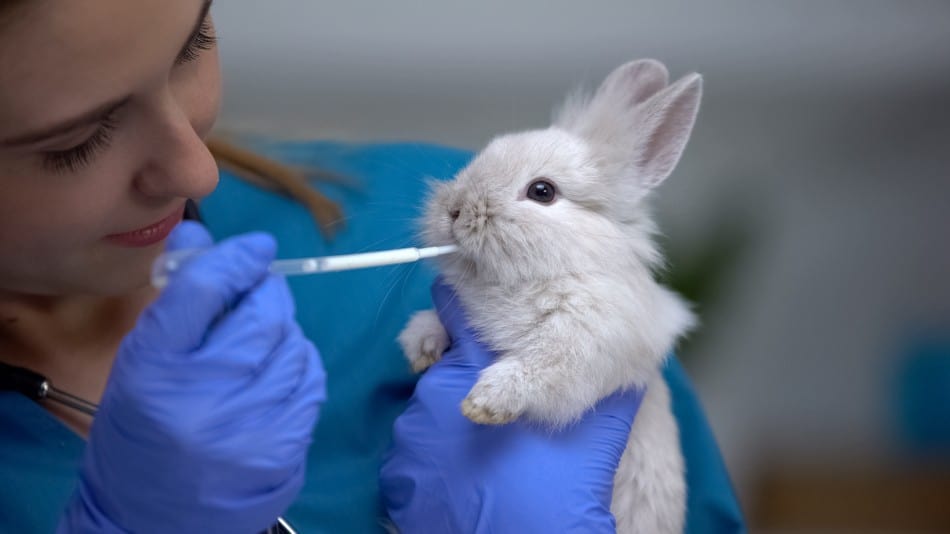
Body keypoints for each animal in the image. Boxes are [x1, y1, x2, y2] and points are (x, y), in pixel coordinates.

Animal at [398, 59, 704, 534]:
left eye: (542, 191)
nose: (454, 210)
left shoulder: (588, 341)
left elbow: (538, 369)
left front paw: (483, 402)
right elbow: (433, 322)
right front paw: (421, 348)